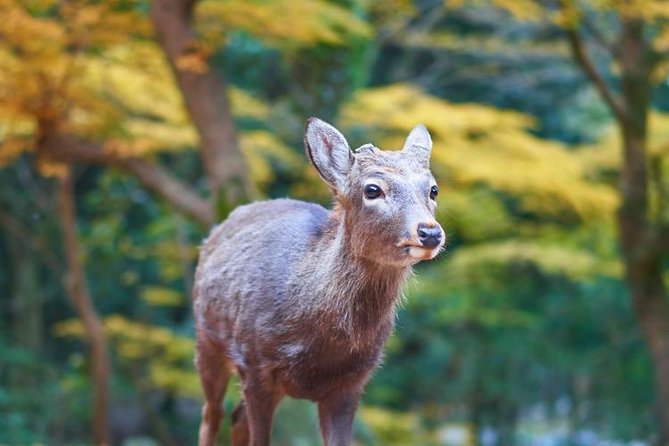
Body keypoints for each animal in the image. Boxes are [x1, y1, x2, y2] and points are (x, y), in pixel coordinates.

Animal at [192, 118, 444, 446]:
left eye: (433, 189)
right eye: (372, 189)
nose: (429, 232)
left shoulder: (352, 381)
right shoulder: (255, 365)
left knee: (236, 418)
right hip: (206, 339)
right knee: (211, 415)